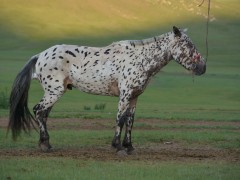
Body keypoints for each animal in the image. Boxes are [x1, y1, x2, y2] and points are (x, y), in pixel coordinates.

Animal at [7, 26, 206, 155]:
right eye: (188, 45)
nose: (202, 67)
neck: (141, 59)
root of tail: (40, 56)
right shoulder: (125, 95)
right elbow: (120, 119)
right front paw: (117, 147)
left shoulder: (134, 97)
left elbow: (130, 121)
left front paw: (129, 147)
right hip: (54, 92)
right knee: (38, 111)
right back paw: (45, 145)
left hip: (53, 93)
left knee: (44, 114)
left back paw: (45, 144)